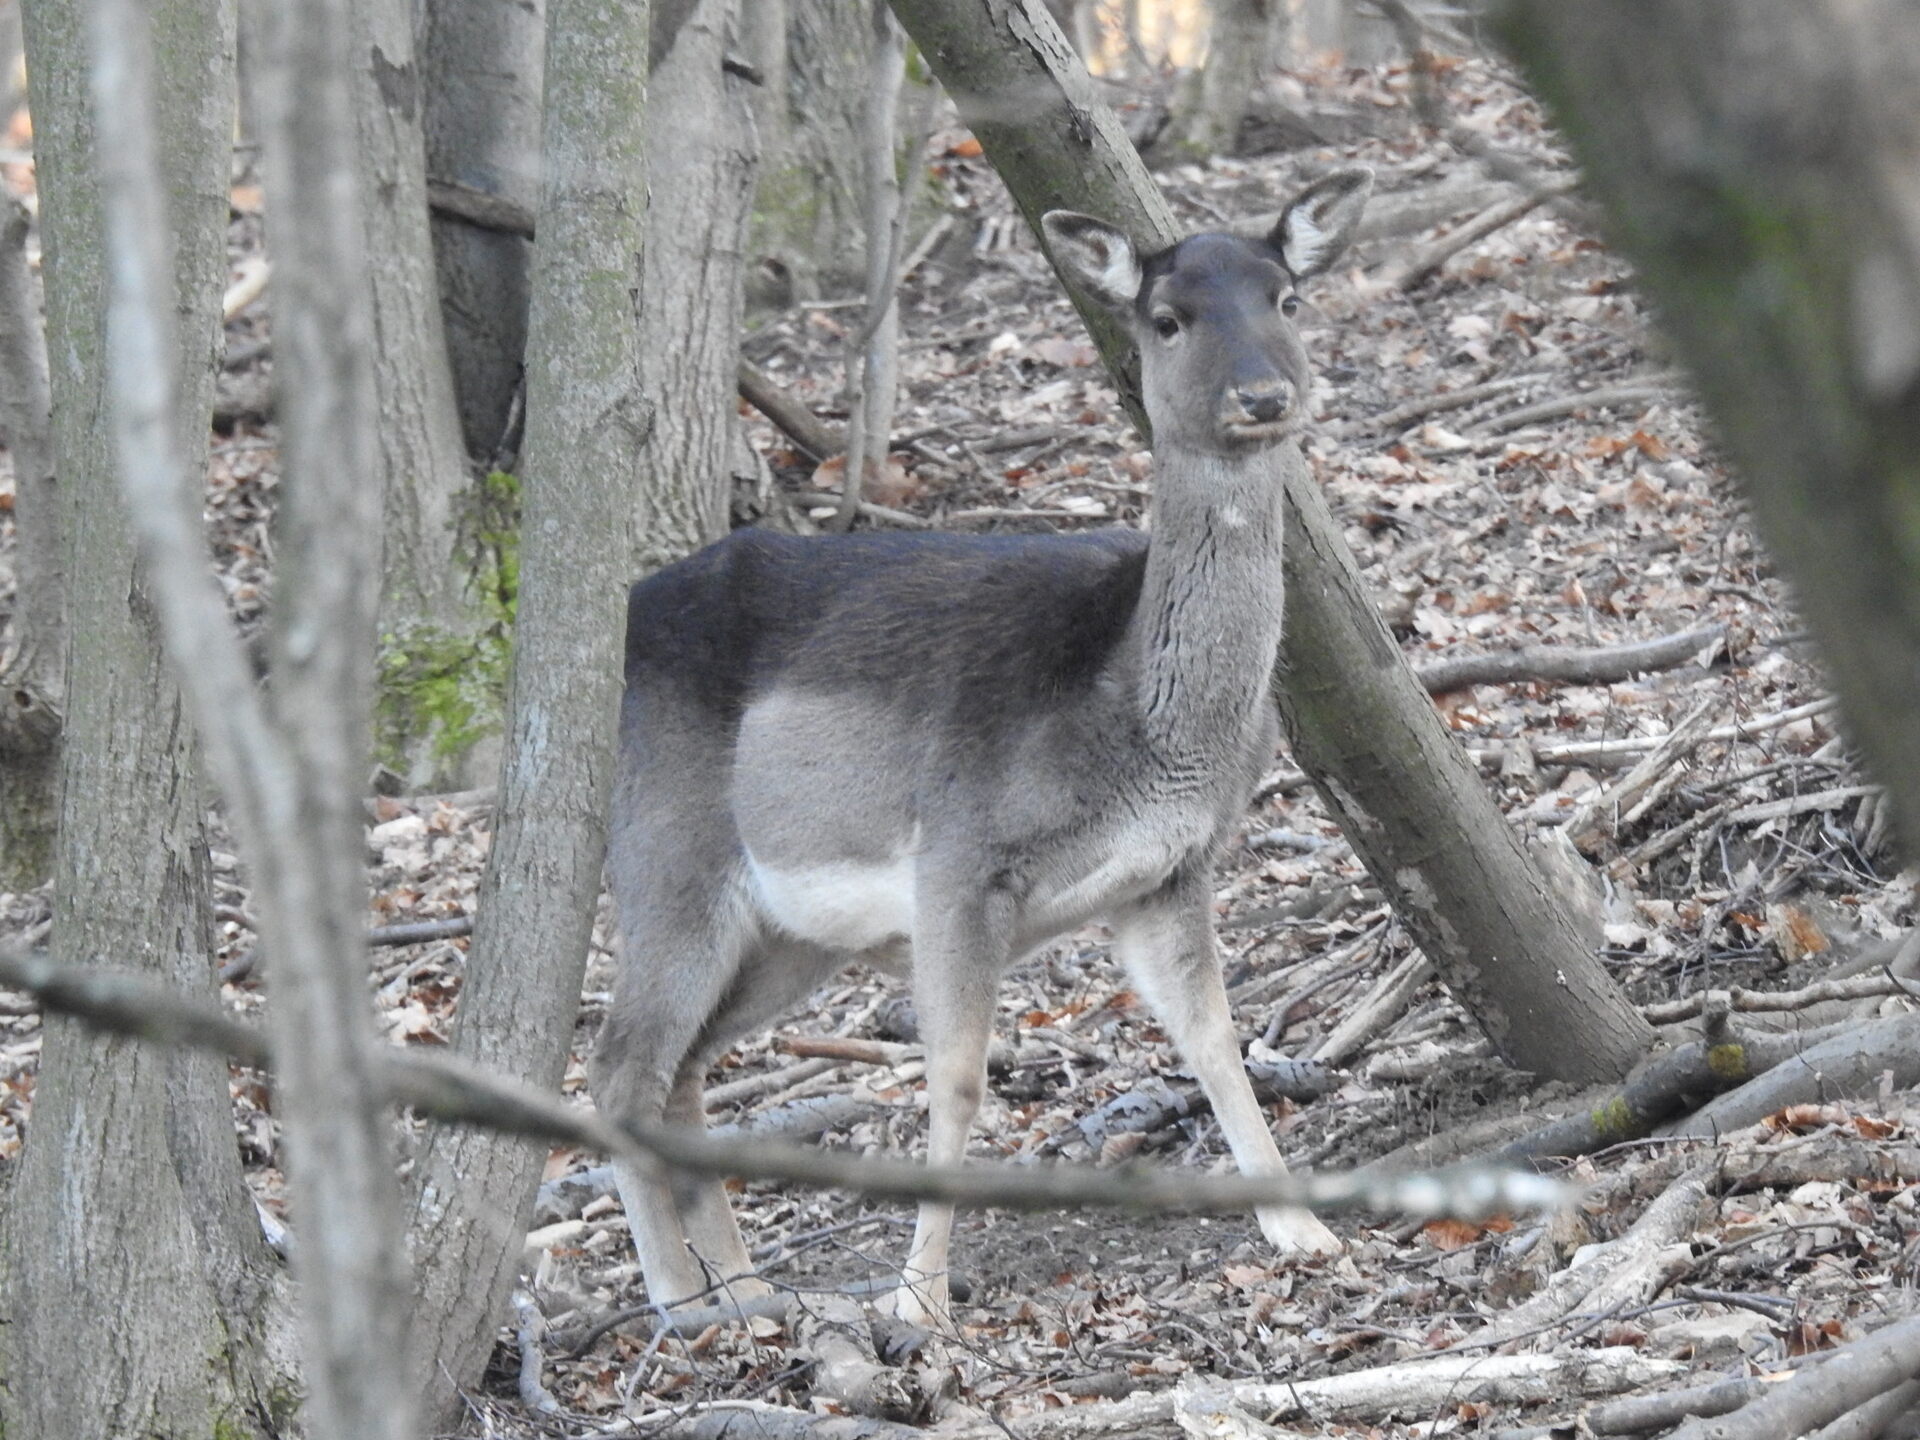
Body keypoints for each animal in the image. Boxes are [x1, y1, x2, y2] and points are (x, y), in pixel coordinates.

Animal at [591, 166, 1374, 1329]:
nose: (1265, 397)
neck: (1135, 720)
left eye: (1288, 297)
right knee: (619, 1065)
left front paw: (1305, 1232)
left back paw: (750, 1293)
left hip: (789, 935)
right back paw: (685, 1308)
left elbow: (1217, 1044)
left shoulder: (1170, 868)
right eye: (1167, 317)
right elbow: (956, 1081)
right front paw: (920, 1304)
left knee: (681, 1071)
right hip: (667, 862)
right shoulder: (961, 857)